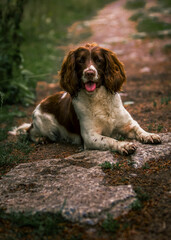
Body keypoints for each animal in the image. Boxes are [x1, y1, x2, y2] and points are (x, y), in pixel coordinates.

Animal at [10, 42, 161, 156]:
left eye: (99, 60)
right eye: (80, 61)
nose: (89, 73)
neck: (98, 99)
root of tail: (41, 103)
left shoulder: (127, 124)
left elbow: (138, 129)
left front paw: (150, 135)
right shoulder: (90, 137)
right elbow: (109, 139)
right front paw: (124, 145)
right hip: (46, 126)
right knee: (29, 131)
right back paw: (40, 138)